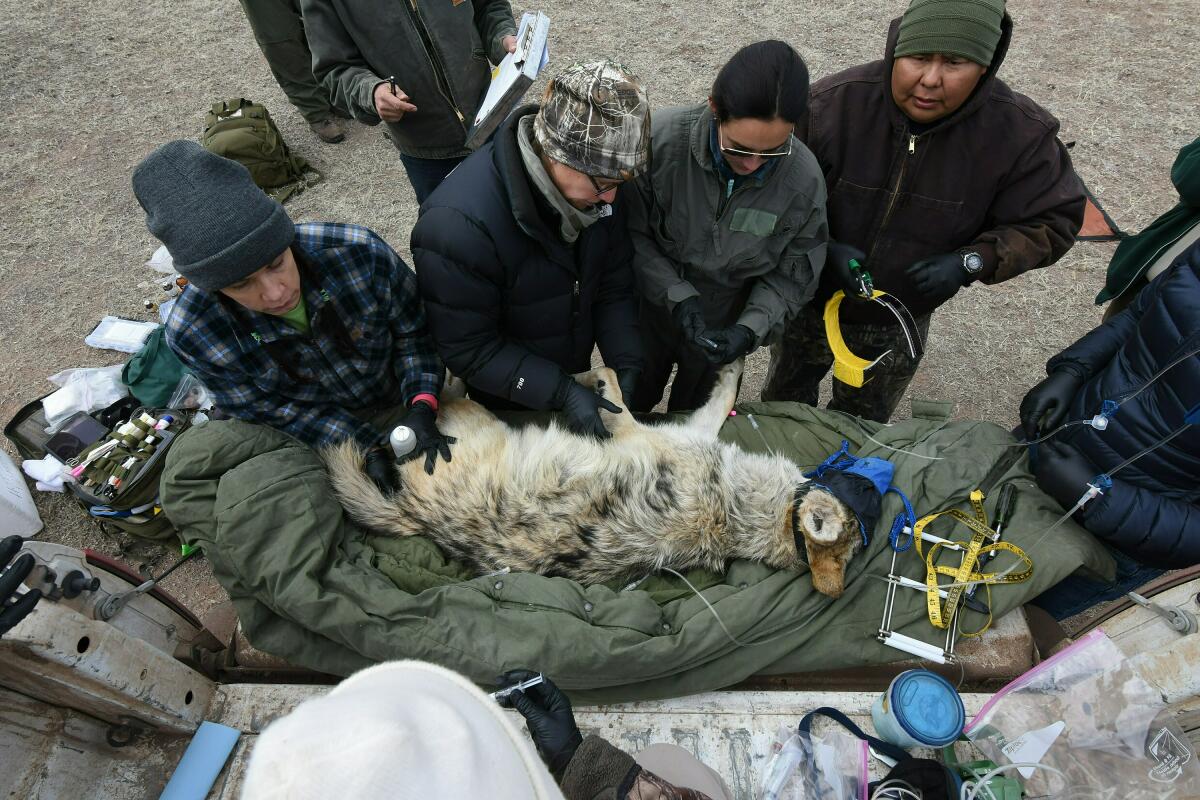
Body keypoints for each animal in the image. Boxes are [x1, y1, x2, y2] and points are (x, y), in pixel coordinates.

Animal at [326, 359, 864, 597]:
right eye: (851, 476)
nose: (861, 466)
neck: (737, 512)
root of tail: (415, 518)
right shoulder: (688, 429)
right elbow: (720, 395)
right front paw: (733, 359)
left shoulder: (637, 430)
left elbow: (609, 377)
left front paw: (583, 382)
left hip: (473, 421)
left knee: (444, 396)